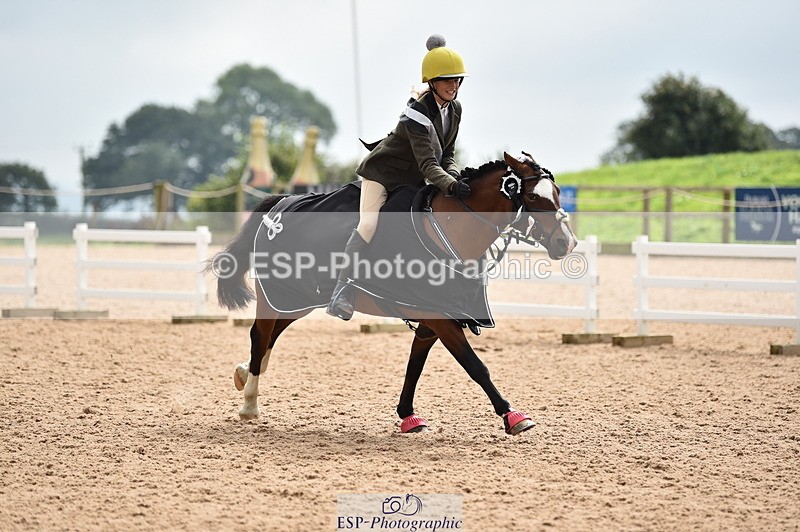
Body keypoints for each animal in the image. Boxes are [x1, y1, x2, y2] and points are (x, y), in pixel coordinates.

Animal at [212, 151, 577, 435]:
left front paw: (408, 416)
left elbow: (414, 366)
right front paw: (512, 416)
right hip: (278, 294)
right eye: (533, 197)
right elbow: (476, 366)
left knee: (270, 337)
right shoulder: (440, 318)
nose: (567, 242)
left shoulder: (432, 318)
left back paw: (244, 374)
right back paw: (249, 404)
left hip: (297, 299)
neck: (452, 228)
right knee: (260, 335)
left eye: (559, 192)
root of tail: (279, 205)